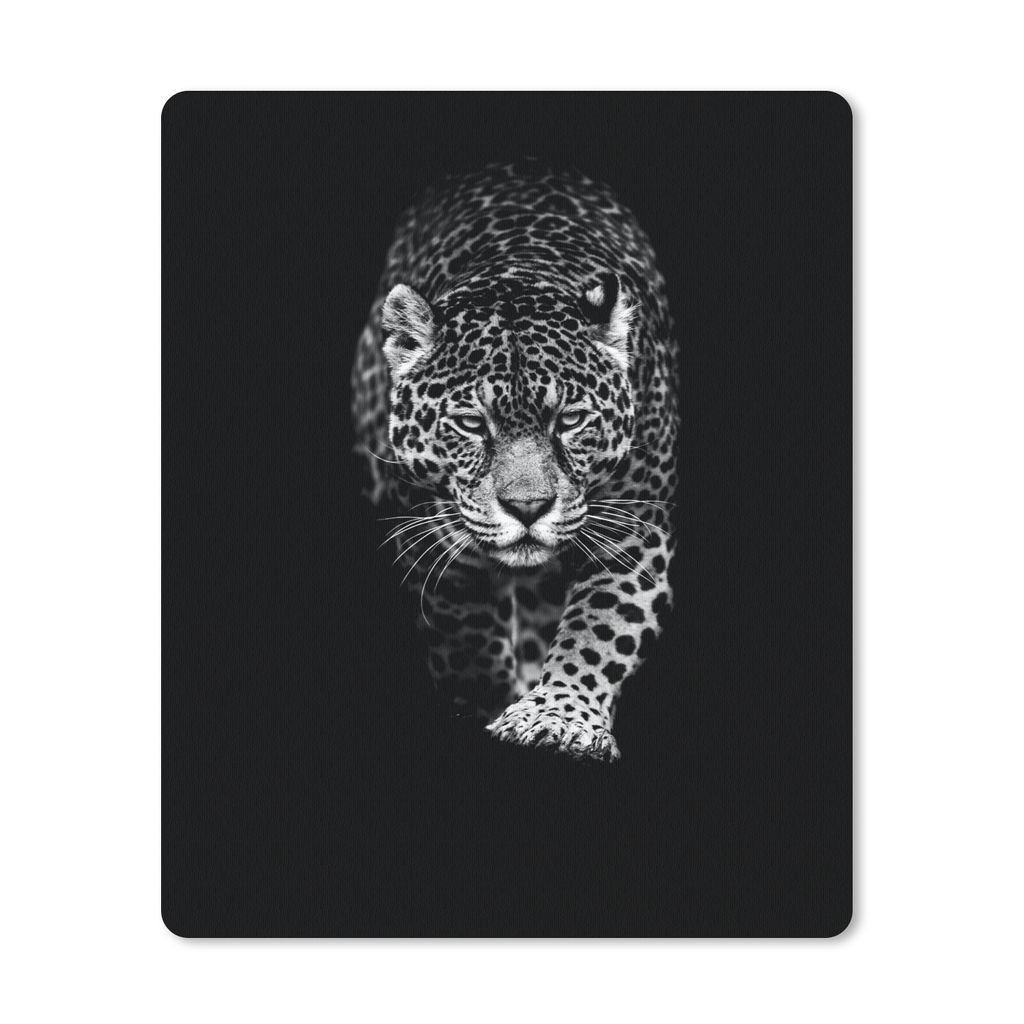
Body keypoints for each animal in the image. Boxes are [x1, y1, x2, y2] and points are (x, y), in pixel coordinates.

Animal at [351, 160, 678, 762]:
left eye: (570, 420)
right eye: (471, 423)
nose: (528, 508)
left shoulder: (635, 531)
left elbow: (600, 628)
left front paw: (560, 717)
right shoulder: (432, 542)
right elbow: (465, 638)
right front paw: (487, 703)